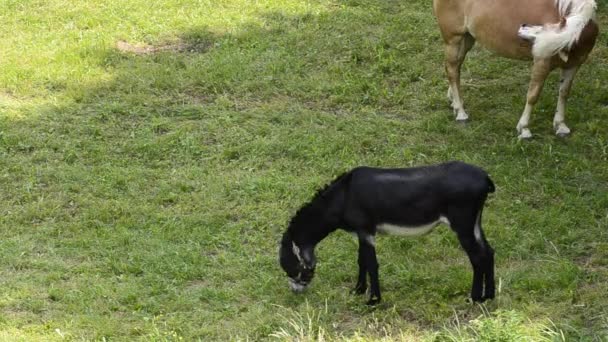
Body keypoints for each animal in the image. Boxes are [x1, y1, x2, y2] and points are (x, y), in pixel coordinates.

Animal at [280, 162, 494, 306]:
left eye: (290, 268)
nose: (295, 292)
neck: (343, 196)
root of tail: (485, 177)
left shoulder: (366, 231)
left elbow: (372, 264)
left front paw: (373, 300)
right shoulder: (362, 233)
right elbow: (362, 261)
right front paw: (358, 291)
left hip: (463, 224)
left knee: (477, 257)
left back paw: (475, 298)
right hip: (474, 223)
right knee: (488, 252)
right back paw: (489, 296)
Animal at [432, 0, 600, 139]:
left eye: (542, 29)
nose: (522, 27)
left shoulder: (573, 66)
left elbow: (564, 93)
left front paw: (561, 126)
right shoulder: (541, 63)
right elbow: (533, 95)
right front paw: (524, 129)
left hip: (467, 38)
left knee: (456, 67)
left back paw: (455, 101)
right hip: (454, 39)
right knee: (452, 70)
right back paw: (461, 112)